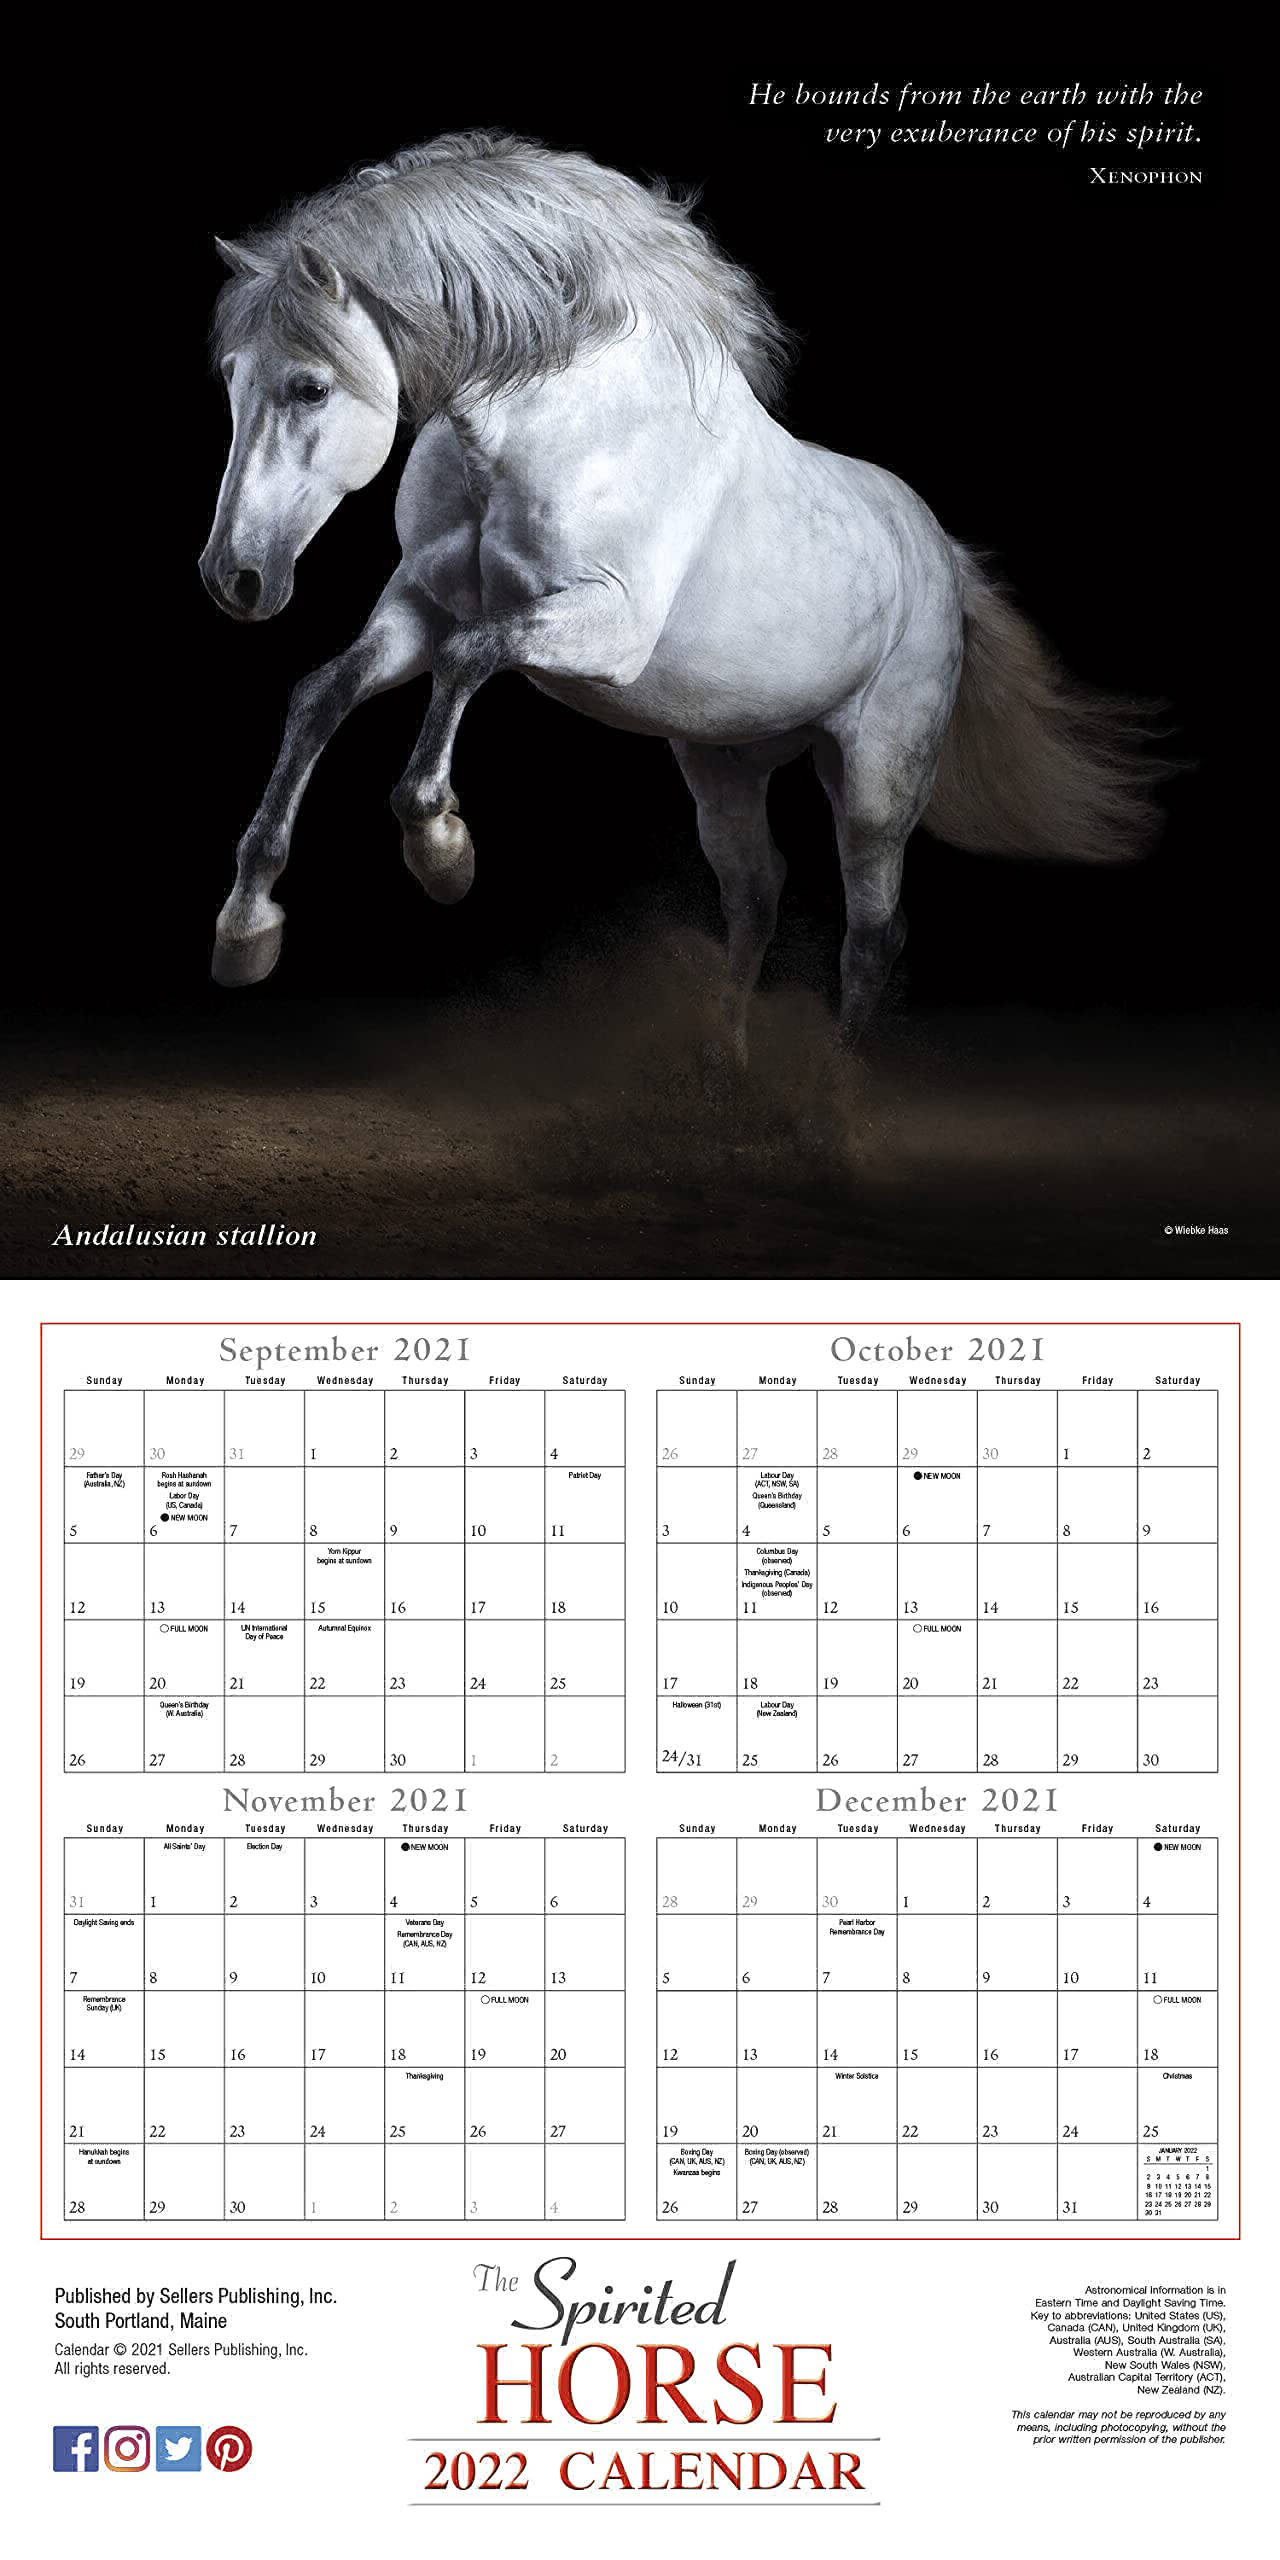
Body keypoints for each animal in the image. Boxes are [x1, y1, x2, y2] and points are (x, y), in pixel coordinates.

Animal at [200, 131, 1164, 1052]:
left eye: (310, 386)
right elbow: (323, 694)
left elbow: (469, 661)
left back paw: (840, 1078)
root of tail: (943, 556)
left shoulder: (606, 630)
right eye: (232, 382)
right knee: (755, 899)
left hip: (880, 779)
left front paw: (440, 849)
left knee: (872, 931)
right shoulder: (417, 610)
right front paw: (248, 927)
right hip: (722, 766)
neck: (552, 426)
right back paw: (725, 1071)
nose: (233, 578)